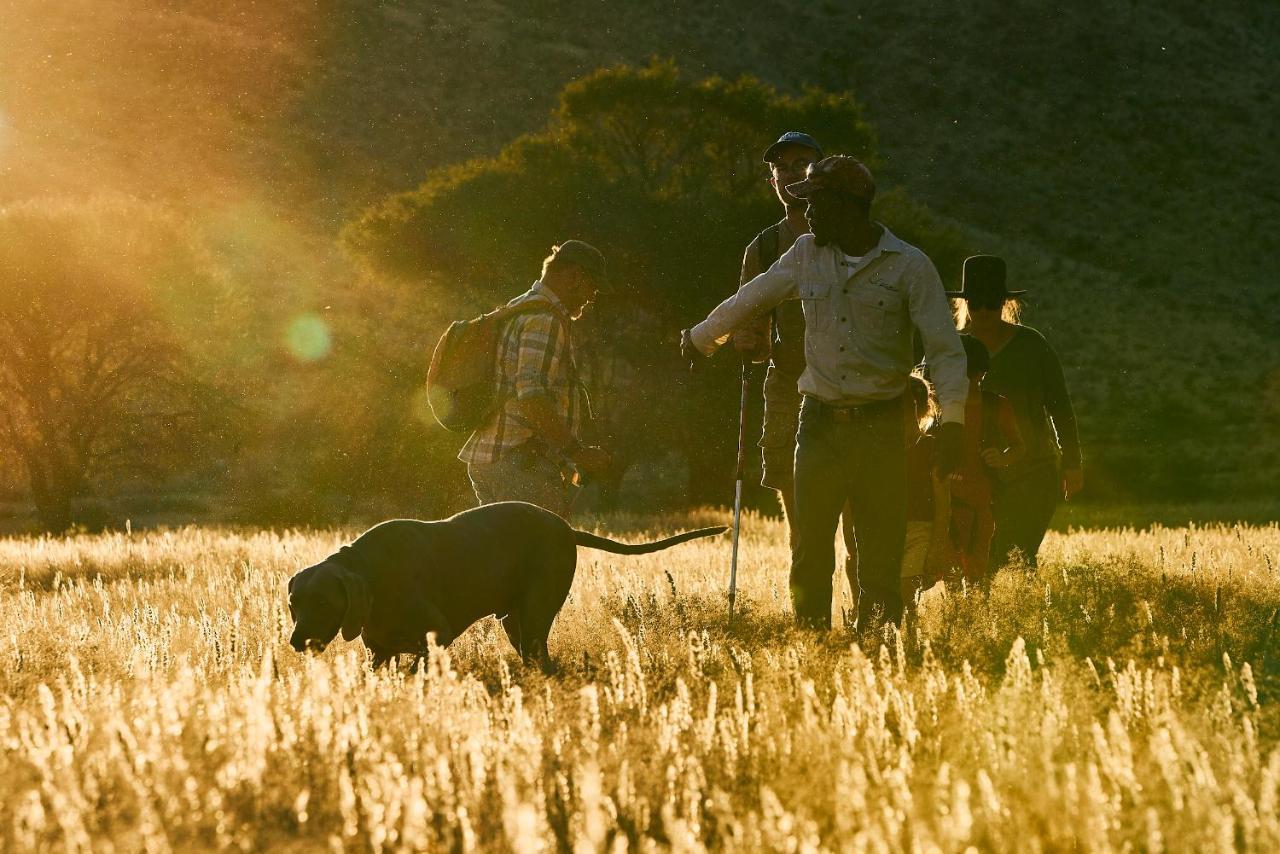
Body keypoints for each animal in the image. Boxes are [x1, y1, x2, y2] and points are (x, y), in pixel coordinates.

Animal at [291, 501, 732, 676]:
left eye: (324, 601)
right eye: (294, 603)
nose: (296, 642)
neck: (371, 573)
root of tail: (566, 529)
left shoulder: (438, 634)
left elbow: (422, 667)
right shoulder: (380, 652)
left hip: (534, 615)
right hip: (514, 622)